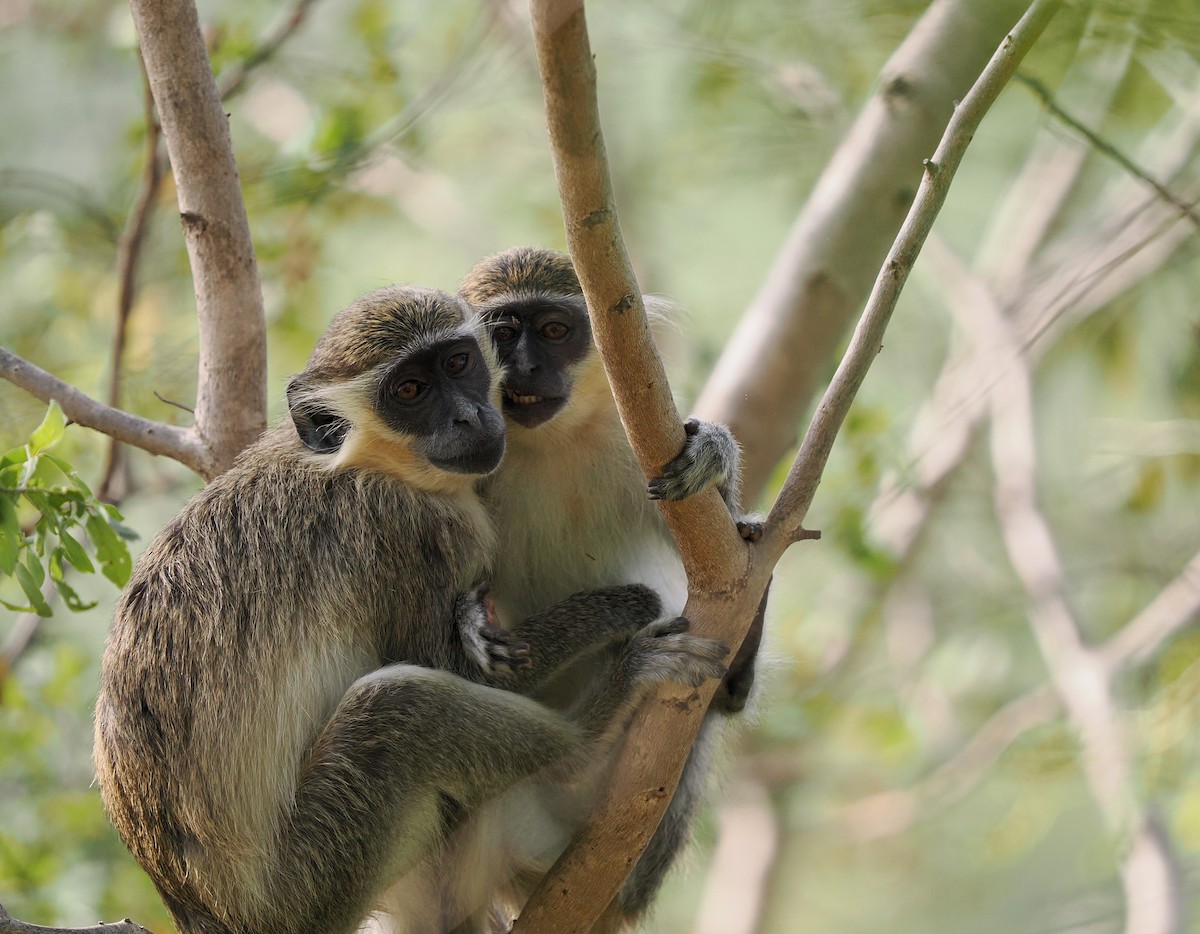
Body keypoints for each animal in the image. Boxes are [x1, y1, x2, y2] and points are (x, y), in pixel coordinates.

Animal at [93, 285, 729, 934]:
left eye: (458, 363)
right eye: (409, 391)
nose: (468, 417)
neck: (365, 462)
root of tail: (206, 914)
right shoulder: (409, 529)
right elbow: (461, 669)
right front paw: (620, 608)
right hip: (311, 884)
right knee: (402, 707)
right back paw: (598, 722)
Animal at [459, 247, 768, 929]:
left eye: (553, 330)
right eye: (502, 333)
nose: (523, 367)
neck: (554, 443)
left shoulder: (640, 455)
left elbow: (731, 679)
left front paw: (718, 455)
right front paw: (472, 624)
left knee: (716, 701)